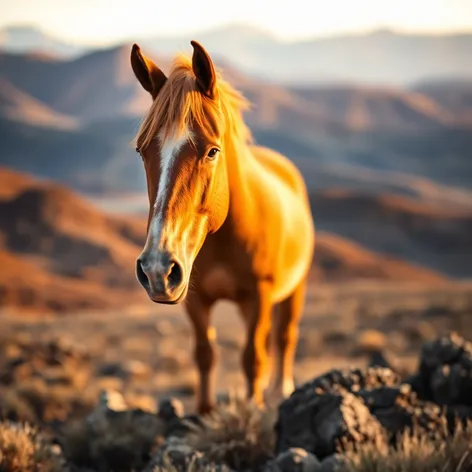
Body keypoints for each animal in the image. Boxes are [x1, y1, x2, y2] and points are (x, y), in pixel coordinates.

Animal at [130, 39, 314, 412]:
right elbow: (205, 355)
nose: (157, 268)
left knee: (284, 337)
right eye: (142, 151)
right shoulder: (195, 298)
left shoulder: (259, 295)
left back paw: (281, 390)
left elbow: (252, 359)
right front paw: (204, 413)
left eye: (212, 151)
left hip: (294, 288)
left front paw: (255, 409)